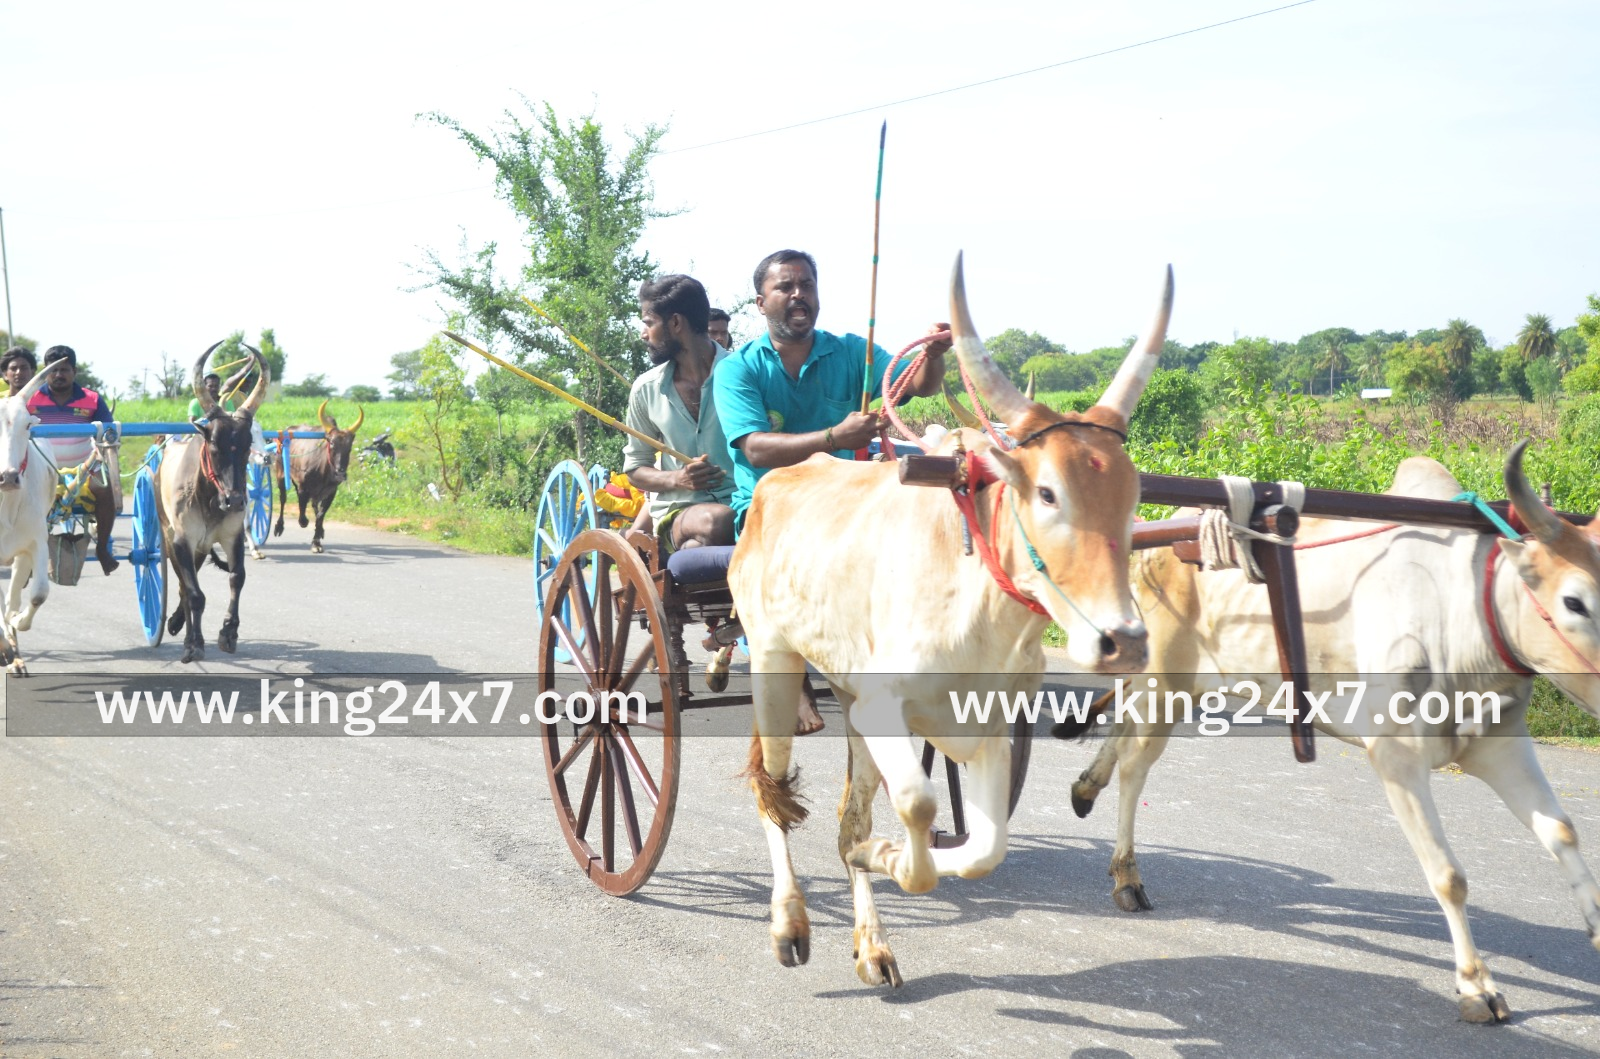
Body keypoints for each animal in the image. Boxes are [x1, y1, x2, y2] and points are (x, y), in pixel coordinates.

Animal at [155, 343, 270, 663]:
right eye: (215, 445)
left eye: (246, 445)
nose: (235, 500)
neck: (210, 499)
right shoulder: (182, 540)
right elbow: (194, 594)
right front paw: (194, 643)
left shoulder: (231, 537)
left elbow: (237, 578)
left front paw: (228, 632)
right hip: (169, 537)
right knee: (184, 586)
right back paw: (179, 629)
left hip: (200, 548)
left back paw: (177, 621)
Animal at [272, 399, 362, 553]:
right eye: (332, 444)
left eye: (349, 447)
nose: (340, 473)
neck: (323, 470)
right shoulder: (303, 488)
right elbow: (303, 515)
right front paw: (306, 524)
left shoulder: (331, 492)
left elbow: (320, 515)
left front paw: (317, 541)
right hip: (281, 476)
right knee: (283, 499)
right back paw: (279, 526)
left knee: (314, 506)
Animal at [729, 255, 1172, 987]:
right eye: (1046, 492)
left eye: (1137, 497)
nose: (1124, 642)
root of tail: (773, 486)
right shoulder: (885, 704)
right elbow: (918, 805)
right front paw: (888, 855)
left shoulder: (987, 722)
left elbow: (983, 846)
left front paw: (878, 856)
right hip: (772, 661)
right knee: (770, 788)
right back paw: (790, 921)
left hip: (846, 691)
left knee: (849, 812)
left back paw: (873, 941)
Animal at [1067, 443, 1600, 1023]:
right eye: (1574, 602)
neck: (1458, 610)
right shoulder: (1396, 756)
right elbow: (1449, 876)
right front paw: (1476, 985)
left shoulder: (1501, 744)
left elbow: (1562, 832)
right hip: (1168, 680)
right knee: (1136, 765)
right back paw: (1127, 876)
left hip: (1177, 687)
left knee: (1122, 732)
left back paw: (1085, 788)